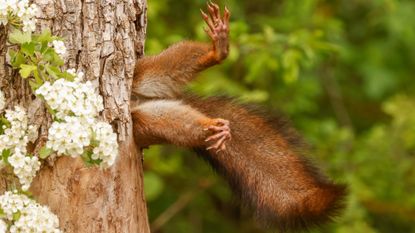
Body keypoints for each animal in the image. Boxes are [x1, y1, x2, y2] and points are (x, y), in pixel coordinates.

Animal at [131, 2, 348, 232]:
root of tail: (138, 100)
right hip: (144, 122)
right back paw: (213, 127)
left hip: (142, 73)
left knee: (167, 67)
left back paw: (217, 52)